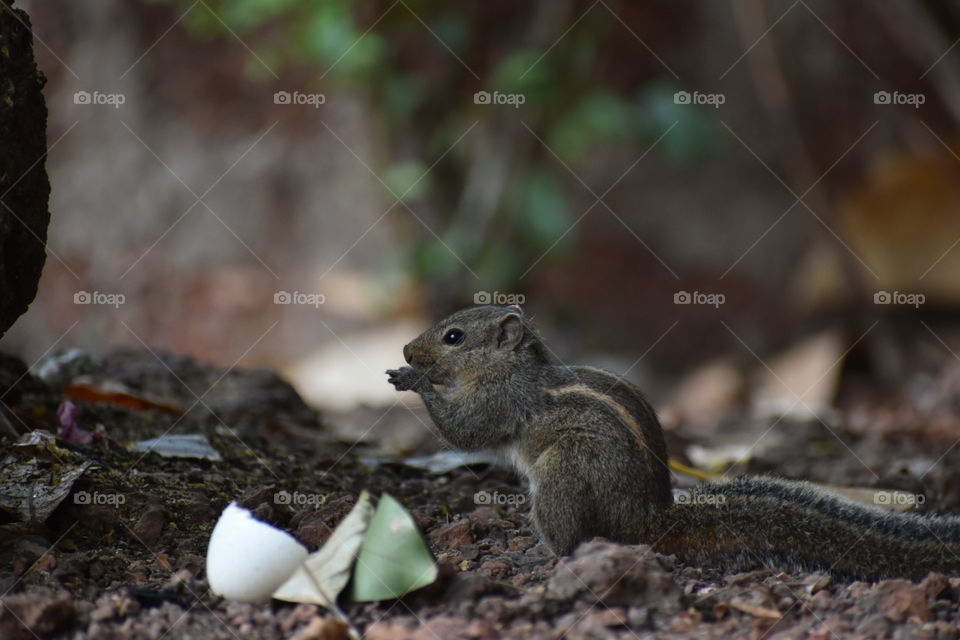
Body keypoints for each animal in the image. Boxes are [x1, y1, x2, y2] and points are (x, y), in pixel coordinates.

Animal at [387, 305, 960, 581]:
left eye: (454, 337)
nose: (407, 350)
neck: (514, 366)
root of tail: (644, 520)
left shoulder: (500, 401)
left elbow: (466, 430)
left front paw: (414, 381)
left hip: (563, 476)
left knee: (572, 539)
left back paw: (540, 559)